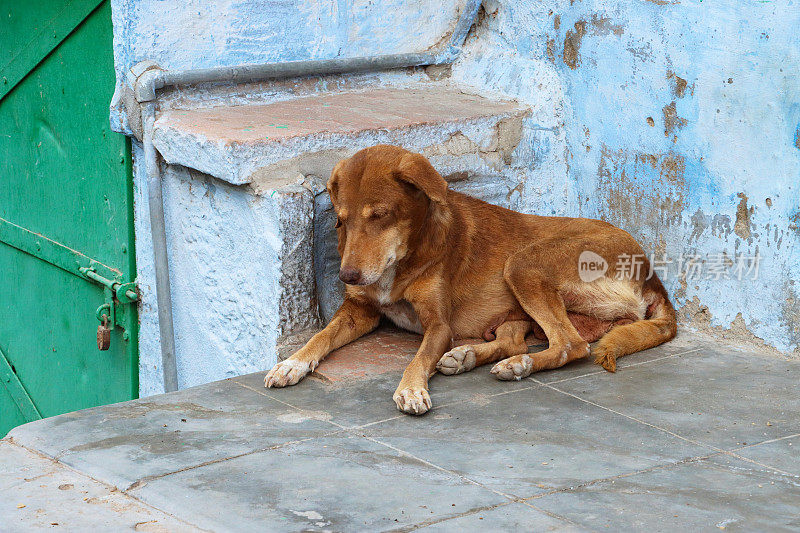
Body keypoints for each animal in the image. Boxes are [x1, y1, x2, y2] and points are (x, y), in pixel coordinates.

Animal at [266, 143, 680, 414]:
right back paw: (468, 357)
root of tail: (650, 274)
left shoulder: (439, 325)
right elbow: (321, 336)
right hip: (518, 308)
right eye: (341, 220)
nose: (347, 275)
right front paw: (292, 363)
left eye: (380, 215)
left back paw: (516, 365)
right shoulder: (358, 310)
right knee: (517, 340)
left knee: (570, 345)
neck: (404, 259)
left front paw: (411, 389)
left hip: (523, 263)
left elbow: (418, 359)